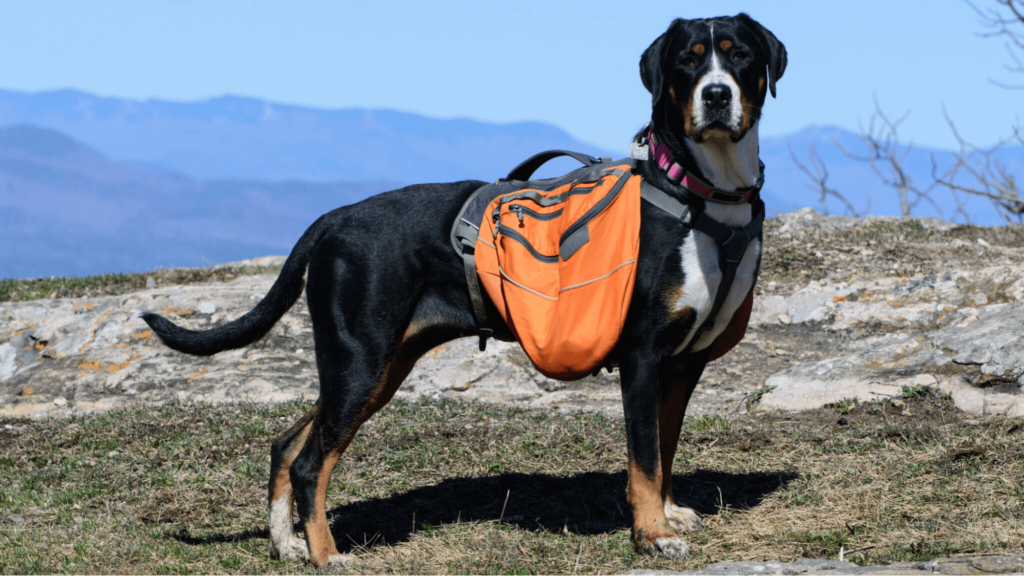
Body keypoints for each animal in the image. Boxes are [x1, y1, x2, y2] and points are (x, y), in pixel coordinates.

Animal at [140, 13, 786, 565]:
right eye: (687, 62)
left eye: (740, 55)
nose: (717, 95)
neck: (701, 197)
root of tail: (335, 217)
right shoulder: (644, 356)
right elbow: (644, 459)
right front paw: (653, 535)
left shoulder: (683, 362)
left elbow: (664, 447)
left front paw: (670, 514)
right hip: (361, 361)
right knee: (310, 463)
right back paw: (327, 555)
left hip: (373, 368)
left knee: (288, 444)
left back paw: (287, 544)